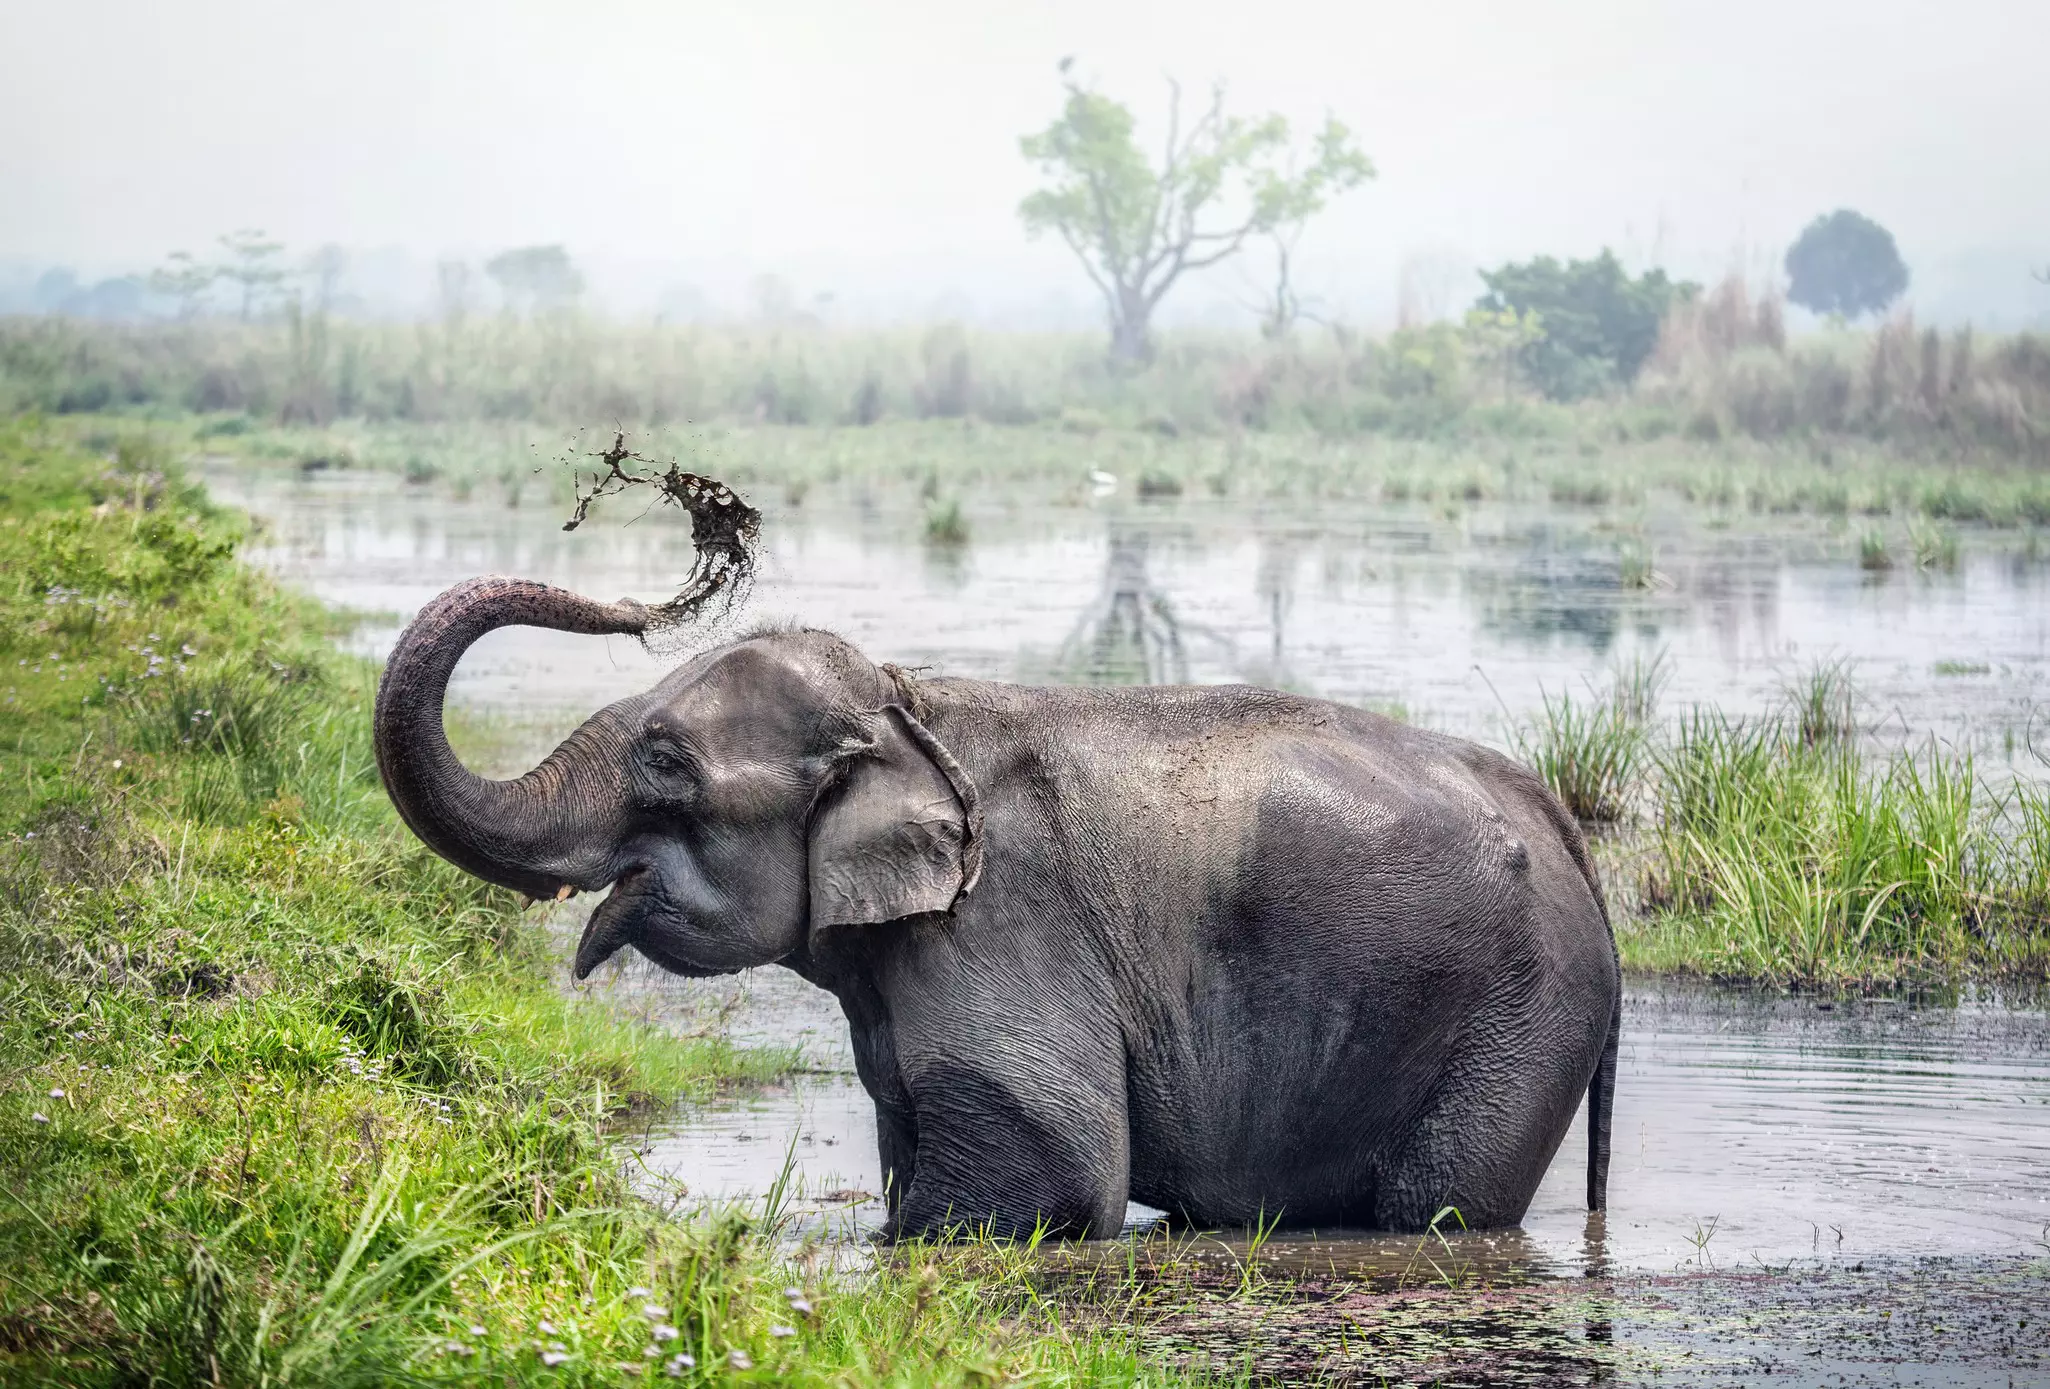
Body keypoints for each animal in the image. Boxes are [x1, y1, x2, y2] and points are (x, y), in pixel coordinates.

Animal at [374, 576, 1620, 1240]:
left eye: (667, 760)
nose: (639, 603)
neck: (907, 705)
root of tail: (1559, 821)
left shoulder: (1000, 925)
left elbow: (1056, 1169)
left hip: (1519, 1019)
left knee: (1441, 1211)